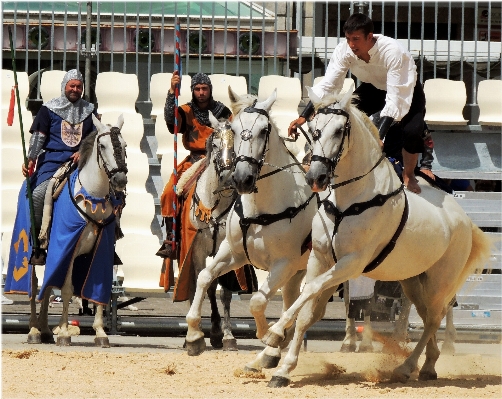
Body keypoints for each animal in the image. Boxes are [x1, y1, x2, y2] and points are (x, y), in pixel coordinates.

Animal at [27, 115, 127, 346]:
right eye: (102, 145)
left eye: (125, 145)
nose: (120, 180)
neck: (92, 198)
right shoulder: (68, 249)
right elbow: (66, 289)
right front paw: (64, 332)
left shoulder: (102, 252)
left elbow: (99, 290)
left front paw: (100, 333)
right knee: (34, 286)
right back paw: (34, 330)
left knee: (46, 286)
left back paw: (45, 330)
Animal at [184, 88, 316, 366]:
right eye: (234, 129)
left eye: (264, 130)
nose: (241, 178)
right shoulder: (232, 253)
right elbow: (204, 278)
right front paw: (194, 336)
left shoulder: (283, 264)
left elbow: (256, 301)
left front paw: (268, 335)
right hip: (297, 272)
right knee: (292, 300)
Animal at [262, 87, 490, 388]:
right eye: (313, 129)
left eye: (339, 130)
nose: (316, 177)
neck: (349, 200)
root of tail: (465, 220)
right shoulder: (319, 259)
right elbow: (306, 312)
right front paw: (283, 368)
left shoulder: (351, 264)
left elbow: (309, 292)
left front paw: (274, 333)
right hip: (413, 280)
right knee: (428, 315)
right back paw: (428, 365)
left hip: (440, 281)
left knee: (433, 318)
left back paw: (406, 367)